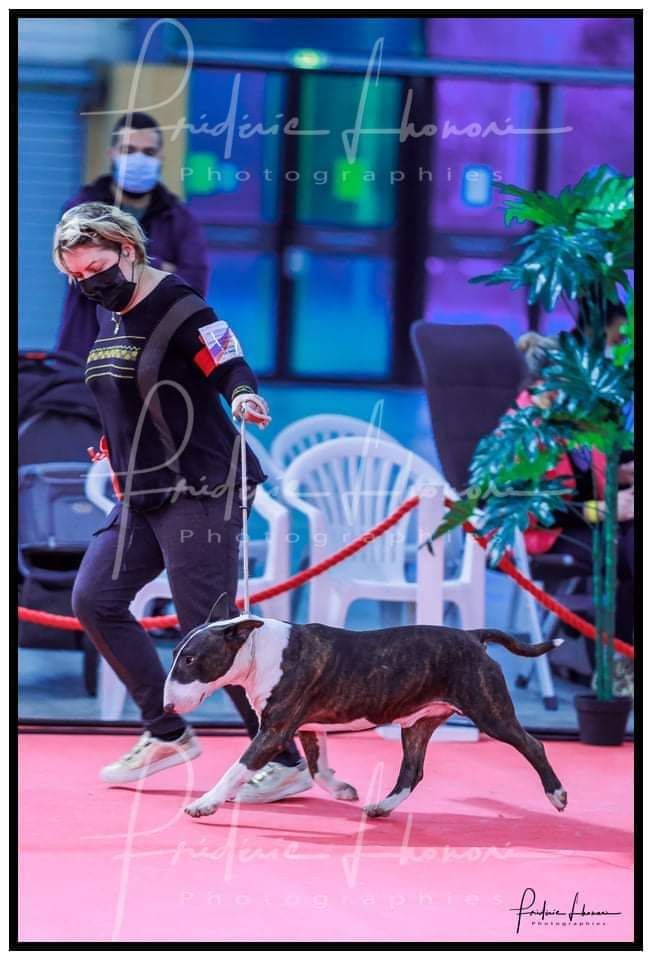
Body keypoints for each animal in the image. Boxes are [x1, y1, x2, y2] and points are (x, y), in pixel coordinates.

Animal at [164, 594, 567, 820]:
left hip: (488, 709)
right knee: (412, 771)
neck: (256, 649)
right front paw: (342, 789)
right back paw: (382, 808)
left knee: (533, 745)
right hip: (418, 722)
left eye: (190, 659)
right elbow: (317, 767)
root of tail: (473, 636)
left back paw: (557, 795)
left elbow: (238, 767)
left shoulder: (275, 730)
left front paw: (204, 804)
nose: (166, 706)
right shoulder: (308, 724)